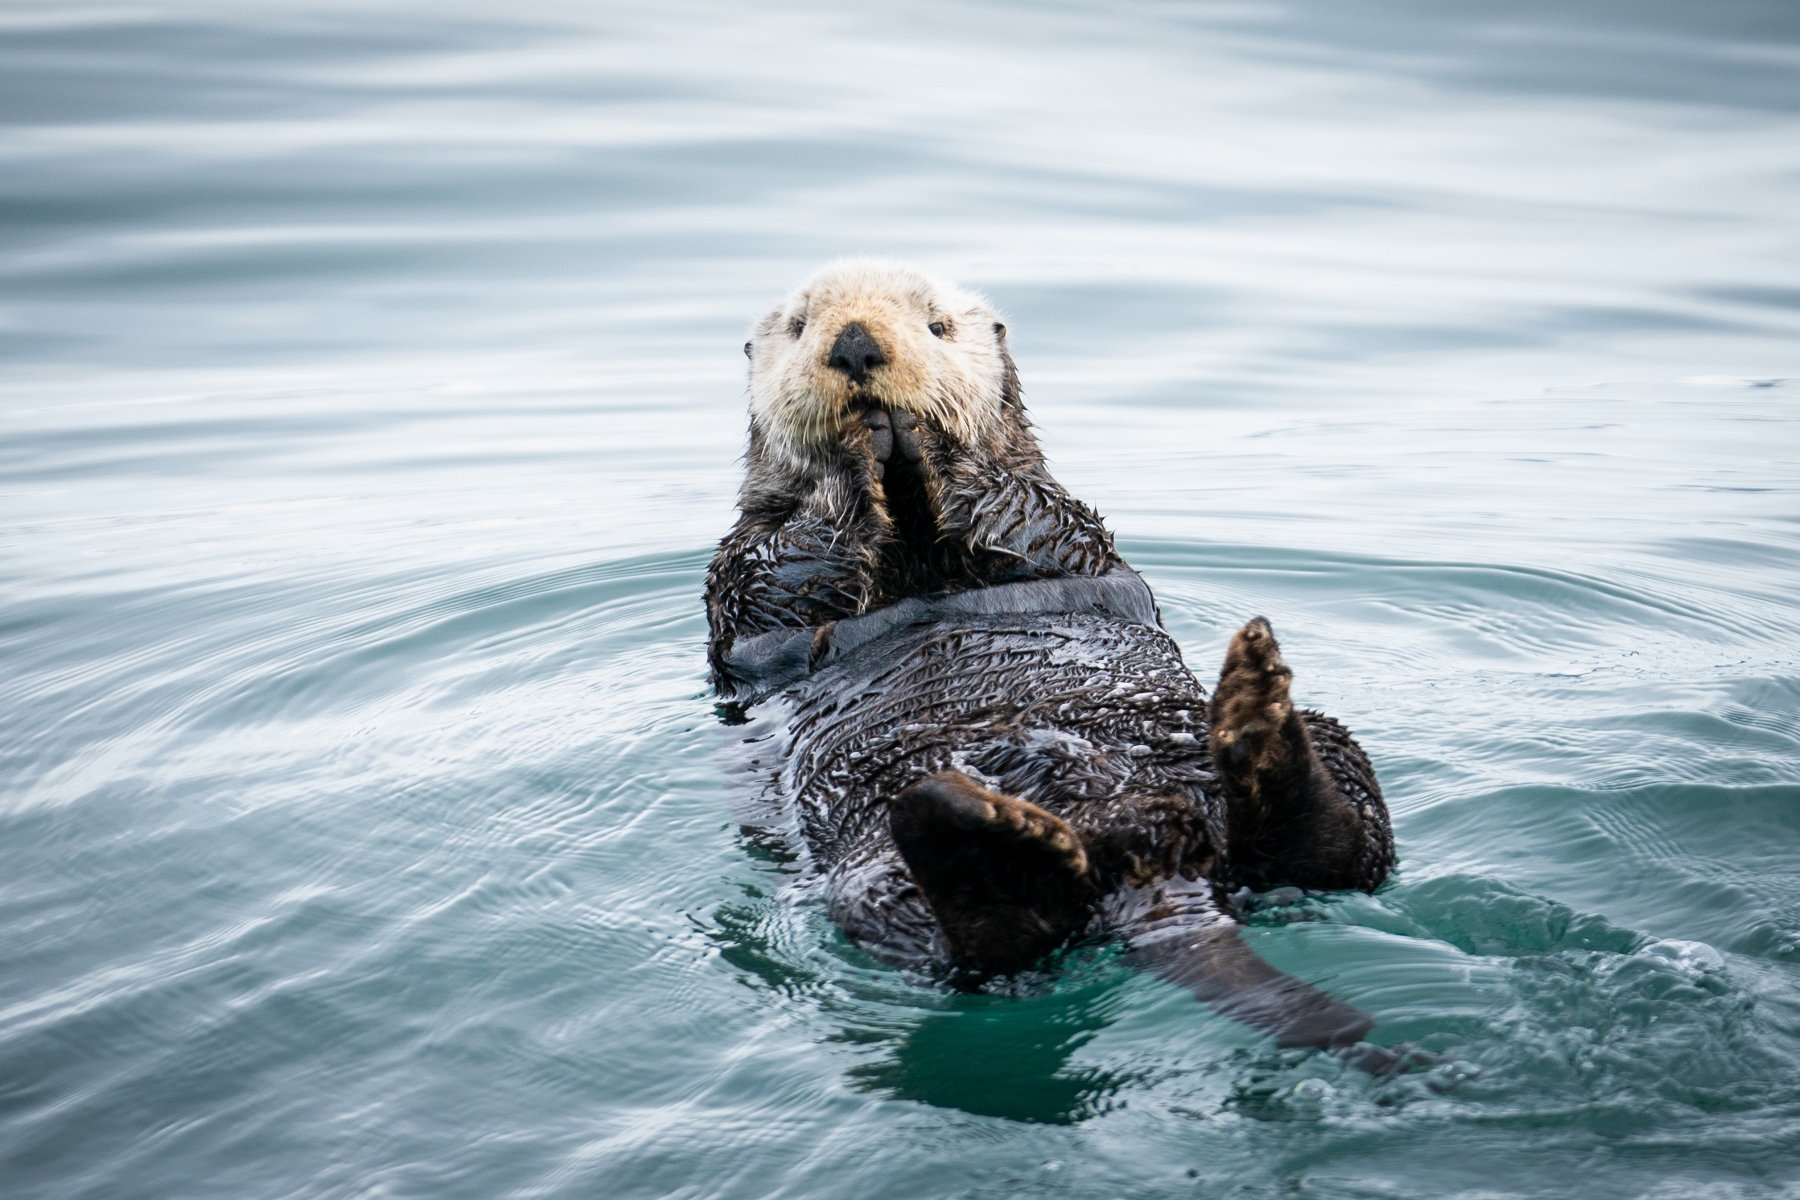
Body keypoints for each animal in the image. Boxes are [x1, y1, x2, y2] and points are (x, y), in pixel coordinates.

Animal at [709, 260, 1396, 1050]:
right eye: (799, 328)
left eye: (938, 325)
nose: (855, 346)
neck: (914, 541)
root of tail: (1150, 859)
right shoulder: (744, 575)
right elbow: (789, 561)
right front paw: (850, 456)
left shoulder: (1061, 521)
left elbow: (1019, 510)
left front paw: (935, 443)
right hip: (872, 878)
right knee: (986, 945)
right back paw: (981, 831)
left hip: (1329, 759)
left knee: (1337, 851)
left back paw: (1255, 709)